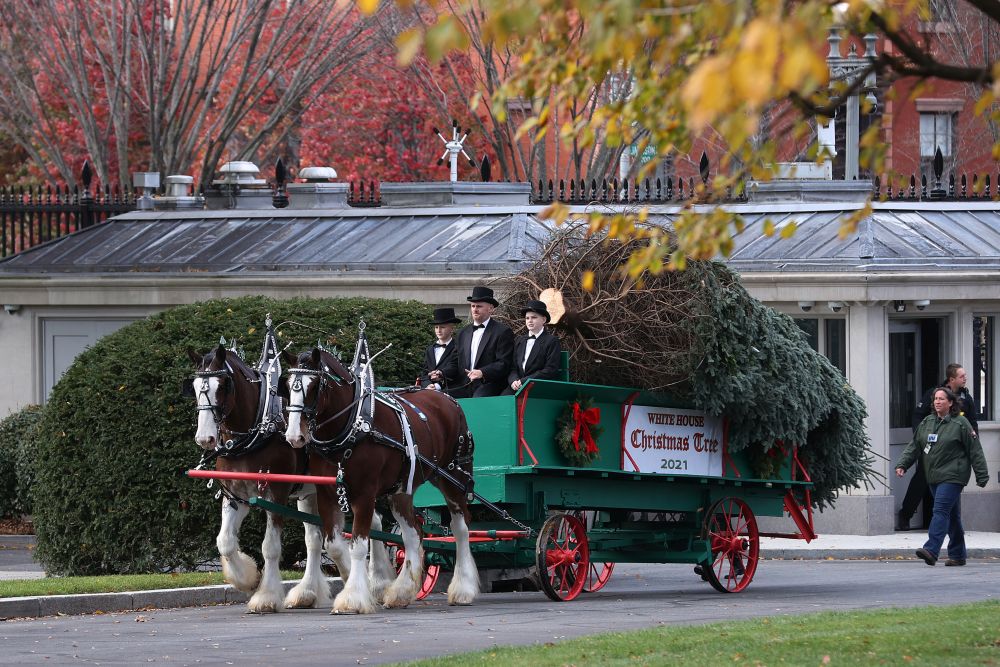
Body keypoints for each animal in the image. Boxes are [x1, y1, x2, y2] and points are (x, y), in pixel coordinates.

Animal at [189, 348, 350, 612]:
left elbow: (270, 547)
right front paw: (248, 579)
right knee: (314, 541)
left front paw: (265, 595)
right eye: (193, 386)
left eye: (222, 385)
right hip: (310, 494)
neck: (257, 430)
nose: (205, 438)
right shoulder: (236, 496)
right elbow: (225, 541)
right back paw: (307, 592)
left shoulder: (276, 494)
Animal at [282, 350, 480, 616]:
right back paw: (402, 592)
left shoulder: (365, 495)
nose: (295, 436)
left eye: (314, 386)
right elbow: (332, 544)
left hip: (453, 479)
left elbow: (358, 545)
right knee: (413, 534)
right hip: (401, 490)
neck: (352, 427)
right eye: (287, 386)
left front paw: (353, 598)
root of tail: (449, 399)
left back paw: (463, 589)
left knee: (461, 529)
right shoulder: (326, 494)